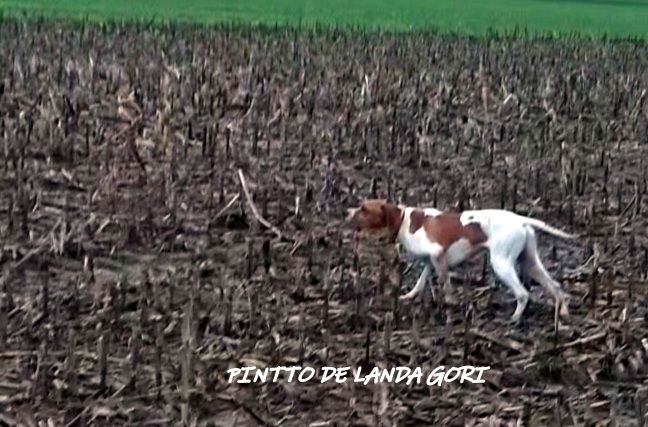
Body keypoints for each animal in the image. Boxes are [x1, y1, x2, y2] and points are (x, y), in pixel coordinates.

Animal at [346, 202, 576, 322]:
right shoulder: (431, 261)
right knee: (556, 287)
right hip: (530, 263)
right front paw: (409, 296)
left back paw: (515, 318)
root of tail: (521, 219)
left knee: (523, 294)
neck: (405, 220)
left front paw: (448, 307)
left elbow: (446, 287)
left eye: (364, 208)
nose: (347, 212)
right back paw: (563, 312)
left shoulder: (438, 256)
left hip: (501, 263)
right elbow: (420, 282)